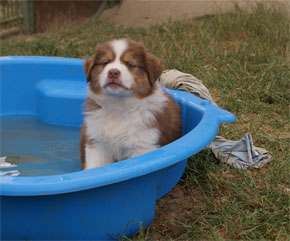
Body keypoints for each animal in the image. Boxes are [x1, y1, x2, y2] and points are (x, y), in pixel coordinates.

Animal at [79, 39, 181, 169]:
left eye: (130, 64)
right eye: (106, 62)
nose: (113, 72)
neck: (118, 106)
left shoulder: (142, 145)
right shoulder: (98, 143)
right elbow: (95, 166)